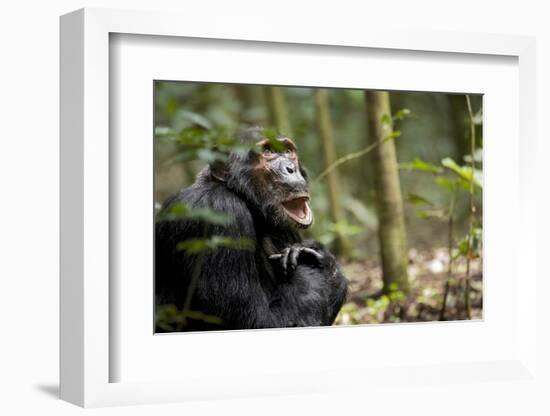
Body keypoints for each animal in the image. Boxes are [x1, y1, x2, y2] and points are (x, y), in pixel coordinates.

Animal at [154, 127, 350, 332]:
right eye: (267, 151)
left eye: (288, 151)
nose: (291, 168)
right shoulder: (220, 212)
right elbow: (256, 321)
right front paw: (309, 261)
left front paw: (321, 256)